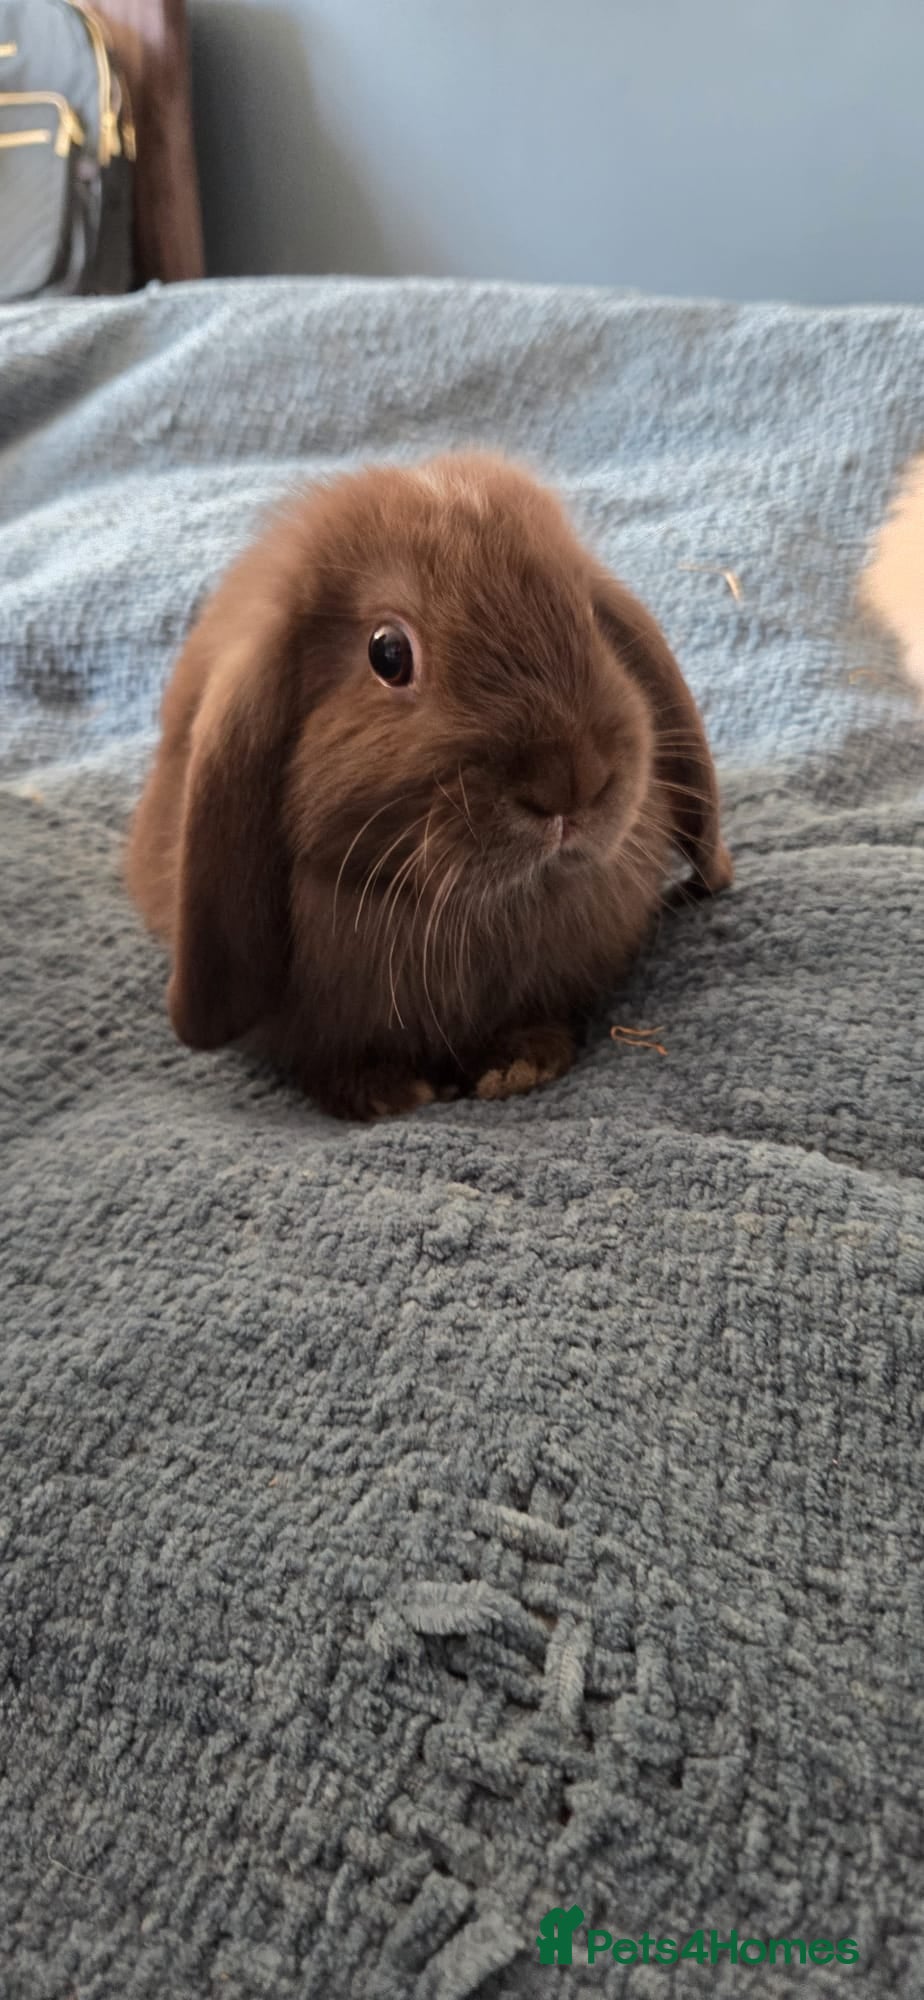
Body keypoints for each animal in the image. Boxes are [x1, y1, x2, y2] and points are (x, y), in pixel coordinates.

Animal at [126, 450, 733, 1120]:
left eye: (588, 618)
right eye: (388, 653)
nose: (571, 782)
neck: (477, 912)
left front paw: (520, 1065)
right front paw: (386, 1093)